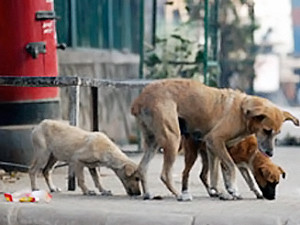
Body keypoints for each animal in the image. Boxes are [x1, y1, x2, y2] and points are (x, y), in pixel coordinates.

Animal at [131, 78, 298, 200]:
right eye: (267, 131)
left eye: (277, 134)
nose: (270, 153)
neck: (241, 113)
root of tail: (139, 100)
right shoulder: (215, 141)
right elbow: (230, 167)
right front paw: (232, 190)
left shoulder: (213, 149)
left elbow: (215, 174)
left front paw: (222, 191)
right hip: (173, 138)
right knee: (166, 174)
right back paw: (180, 195)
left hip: (153, 142)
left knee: (142, 168)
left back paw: (148, 194)